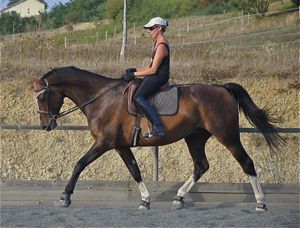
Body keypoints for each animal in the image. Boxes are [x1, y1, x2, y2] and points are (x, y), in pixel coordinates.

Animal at [32, 66, 284, 212]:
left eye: (42, 96)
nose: (45, 125)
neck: (101, 98)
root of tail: (222, 88)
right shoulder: (120, 145)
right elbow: (134, 170)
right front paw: (145, 200)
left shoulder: (104, 143)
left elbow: (79, 164)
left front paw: (65, 196)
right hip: (195, 137)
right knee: (201, 165)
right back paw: (179, 198)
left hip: (227, 135)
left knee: (246, 163)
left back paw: (261, 202)